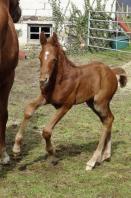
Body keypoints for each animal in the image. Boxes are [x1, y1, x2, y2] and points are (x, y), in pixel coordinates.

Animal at [12, 32, 126, 170]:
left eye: (54, 59)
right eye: (40, 58)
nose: (43, 80)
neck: (60, 81)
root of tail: (112, 71)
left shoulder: (66, 105)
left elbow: (47, 130)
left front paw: (52, 154)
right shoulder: (45, 98)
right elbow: (29, 109)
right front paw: (16, 150)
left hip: (100, 103)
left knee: (108, 120)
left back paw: (92, 161)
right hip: (93, 103)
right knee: (109, 119)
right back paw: (106, 155)